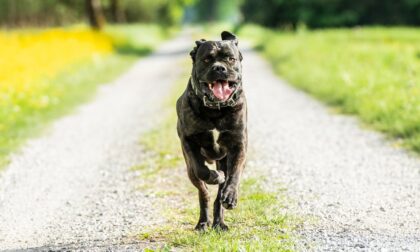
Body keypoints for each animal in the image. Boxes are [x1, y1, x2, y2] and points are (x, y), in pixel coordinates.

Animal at [176, 31, 246, 230]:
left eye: (230, 58)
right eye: (206, 59)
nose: (219, 68)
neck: (216, 109)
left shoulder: (239, 144)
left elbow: (235, 174)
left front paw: (230, 195)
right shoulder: (189, 141)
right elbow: (201, 169)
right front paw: (214, 176)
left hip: (224, 160)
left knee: (218, 196)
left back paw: (219, 222)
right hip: (189, 170)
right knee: (204, 192)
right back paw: (203, 222)